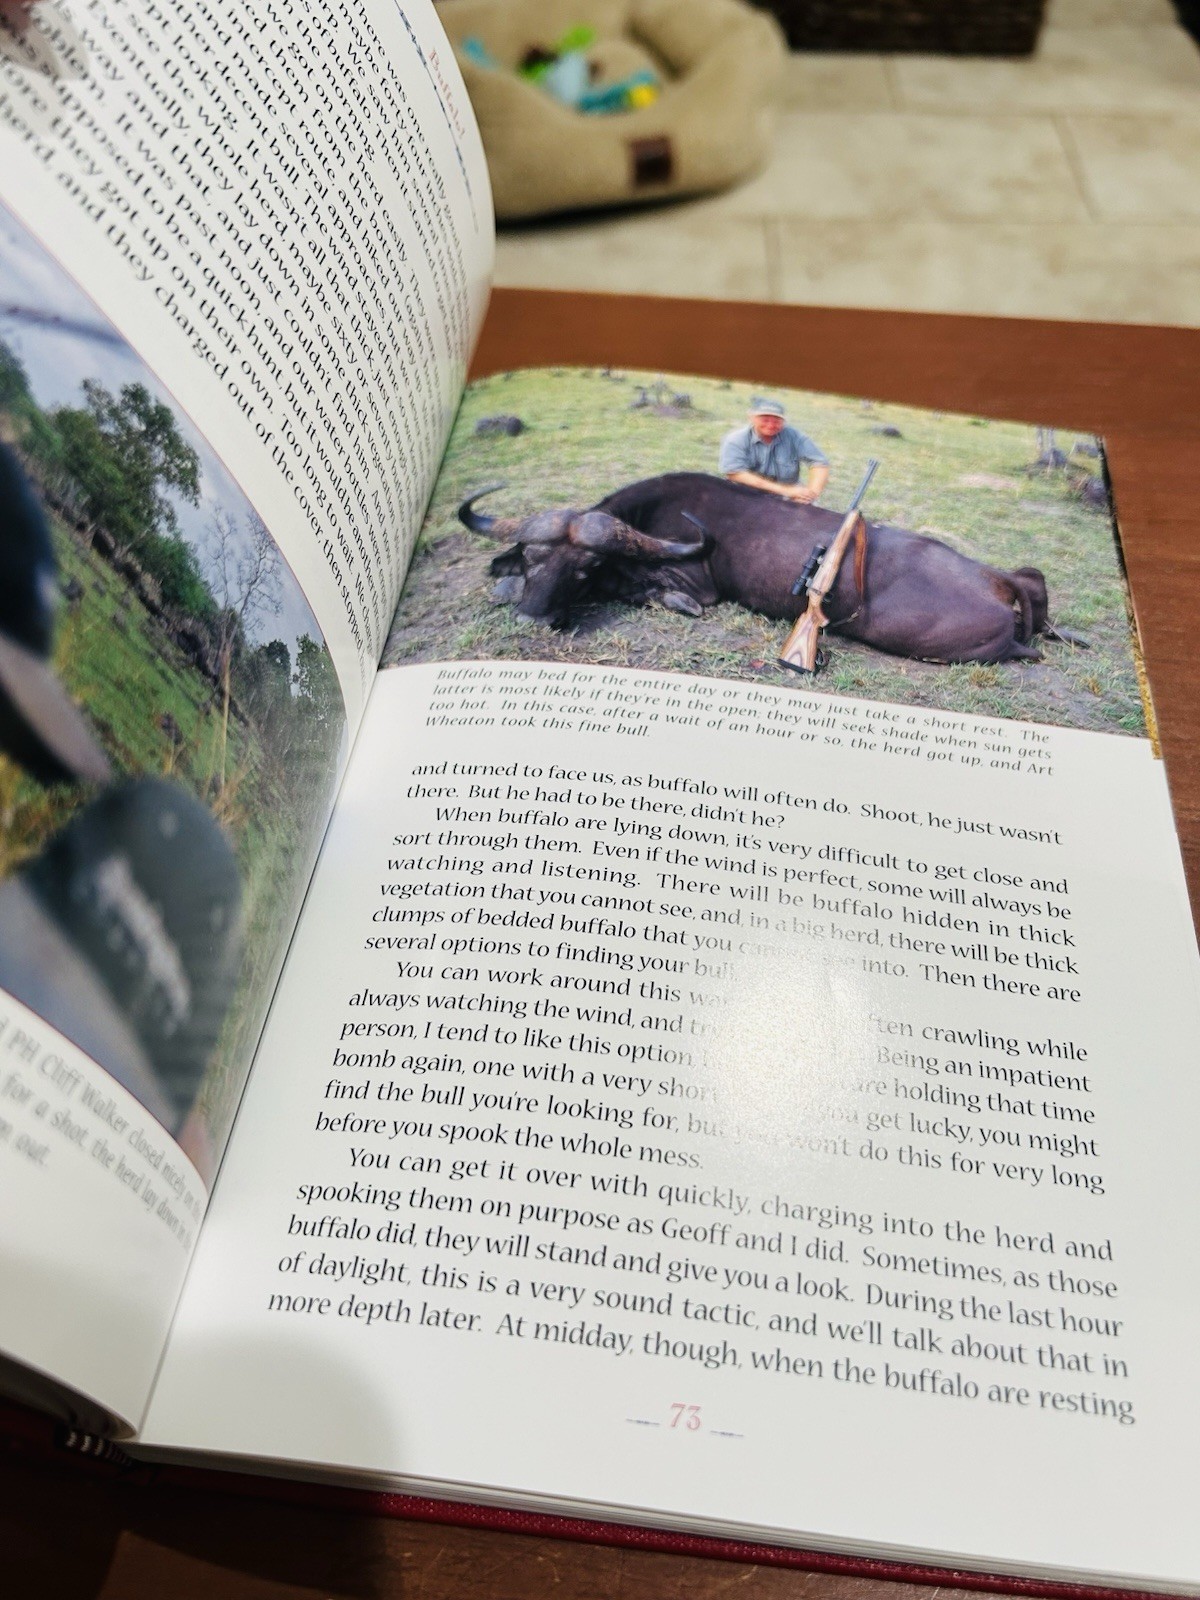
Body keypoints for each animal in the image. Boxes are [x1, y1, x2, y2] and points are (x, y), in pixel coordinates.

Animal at [459, 472, 1067, 665]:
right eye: (534, 558)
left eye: (586, 568)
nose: (535, 619)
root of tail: (996, 583)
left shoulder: (692, 582)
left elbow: (647, 589)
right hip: (1021, 583)